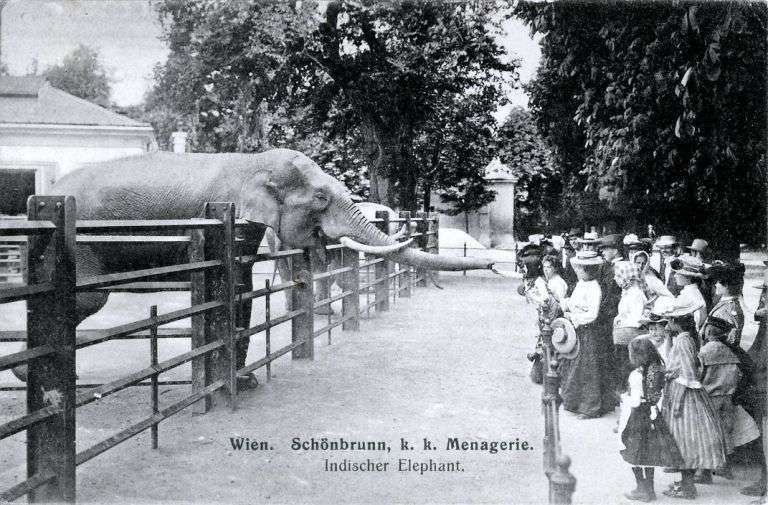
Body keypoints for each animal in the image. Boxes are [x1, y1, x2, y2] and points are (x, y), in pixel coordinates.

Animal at [15, 149, 496, 382]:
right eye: (321, 197)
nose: (493, 265)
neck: (254, 162)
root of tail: (39, 201)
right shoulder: (226, 217)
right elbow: (233, 289)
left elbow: (242, 292)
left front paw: (242, 382)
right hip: (80, 246)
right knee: (88, 301)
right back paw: (32, 373)